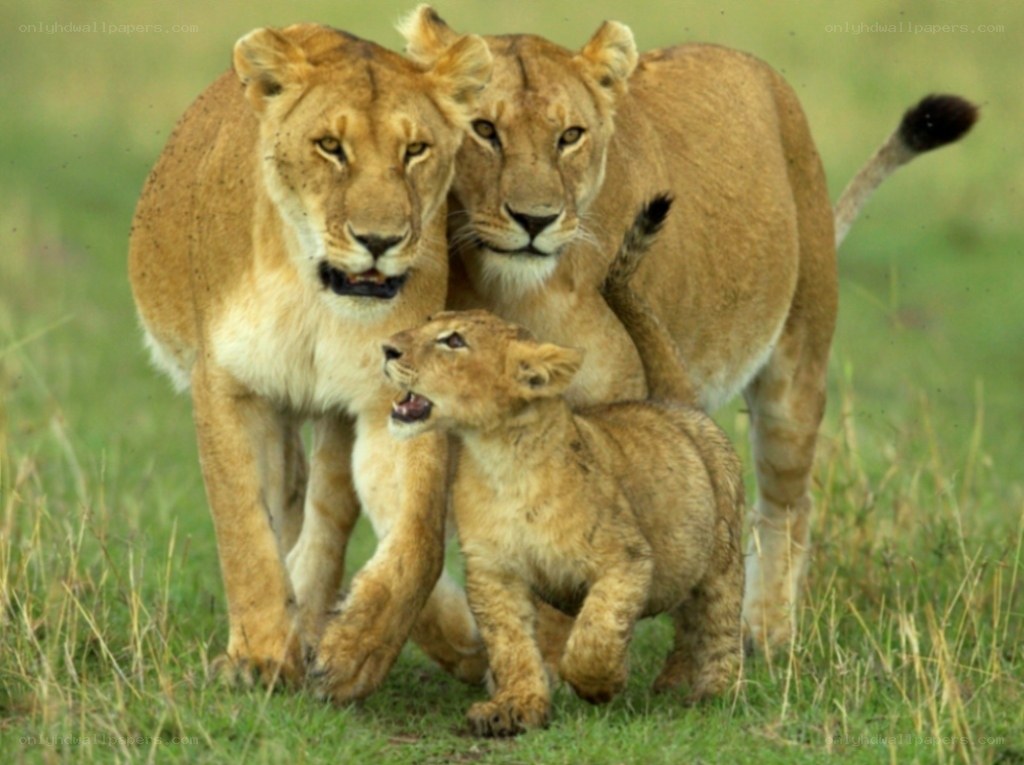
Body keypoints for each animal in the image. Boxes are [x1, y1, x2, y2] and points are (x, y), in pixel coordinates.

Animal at [128, 23, 495, 701]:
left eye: (416, 150)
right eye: (330, 147)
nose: (379, 241)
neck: (315, 295)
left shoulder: (388, 397)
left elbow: (418, 540)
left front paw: (357, 650)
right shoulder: (231, 387)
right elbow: (246, 529)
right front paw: (260, 658)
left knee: (331, 512)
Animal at [381, 197, 744, 737]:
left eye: (453, 341)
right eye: (427, 322)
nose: (387, 348)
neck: (501, 460)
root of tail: (673, 405)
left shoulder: (626, 559)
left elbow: (595, 629)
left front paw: (599, 683)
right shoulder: (494, 572)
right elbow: (511, 645)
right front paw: (514, 707)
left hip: (723, 557)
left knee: (718, 623)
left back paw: (715, 693)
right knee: (688, 624)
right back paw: (674, 684)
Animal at [399, 6, 977, 653]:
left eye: (569, 136)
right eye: (485, 130)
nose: (535, 220)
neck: (517, 289)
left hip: (795, 369)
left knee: (787, 504)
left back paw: (766, 632)